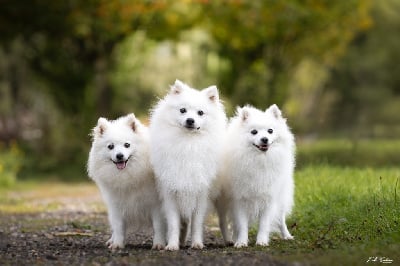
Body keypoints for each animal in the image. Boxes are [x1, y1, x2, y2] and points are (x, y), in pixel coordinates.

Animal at [87, 113, 166, 250]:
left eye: (127, 145)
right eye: (110, 146)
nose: (119, 156)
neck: (128, 176)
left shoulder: (156, 205)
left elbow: (158, 226)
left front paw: (159, 244)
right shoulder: (117, 206)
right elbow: (118, 227)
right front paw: (117, 244)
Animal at [149, 80, 227, 250]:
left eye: (200, 113)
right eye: (183, 110)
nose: (190, 120)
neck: (188, 143)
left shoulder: (201, 195)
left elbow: (196, 224)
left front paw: (197, 243)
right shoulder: (171, 194)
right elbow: (173, 224)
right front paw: (172, 245)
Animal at [217, 104, 296, 247]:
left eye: (270, 131)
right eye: (254, 132)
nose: (264, 139)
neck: (258, 160)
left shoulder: (269, 199)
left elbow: (264, 224)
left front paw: (262, 241)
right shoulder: (239, 200)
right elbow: (242, 224)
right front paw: (241, 242)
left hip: (281, 198)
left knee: (281, 219)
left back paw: (287, 236)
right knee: (226, 222)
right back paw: (231, 238)